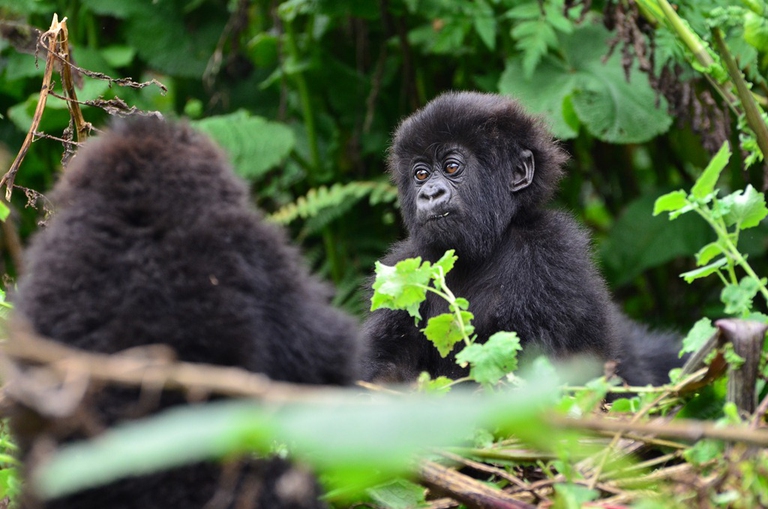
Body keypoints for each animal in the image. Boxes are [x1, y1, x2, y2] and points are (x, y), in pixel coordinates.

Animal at [362, 91, 682, 386]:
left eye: (452, 167)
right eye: (421, 174)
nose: (430, 193)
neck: (488, 245)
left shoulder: (551, 251)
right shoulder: (404, 266)